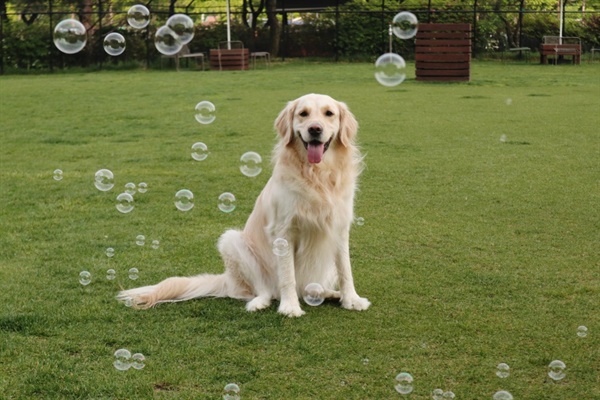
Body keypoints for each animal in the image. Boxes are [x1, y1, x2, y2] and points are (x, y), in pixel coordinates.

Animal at [117, 93, 370, 316]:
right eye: (303, 114)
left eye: (329, 114)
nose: (315, 129)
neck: (317, 176)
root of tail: (227, 280)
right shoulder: (283, 232)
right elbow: (288, 276)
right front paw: (290, 307)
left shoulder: (339, 228)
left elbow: (346, 270)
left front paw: (351, 299)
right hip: (233, 242)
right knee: (266, 290)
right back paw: (261, 302)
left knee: (311, 287)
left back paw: (329, 293)